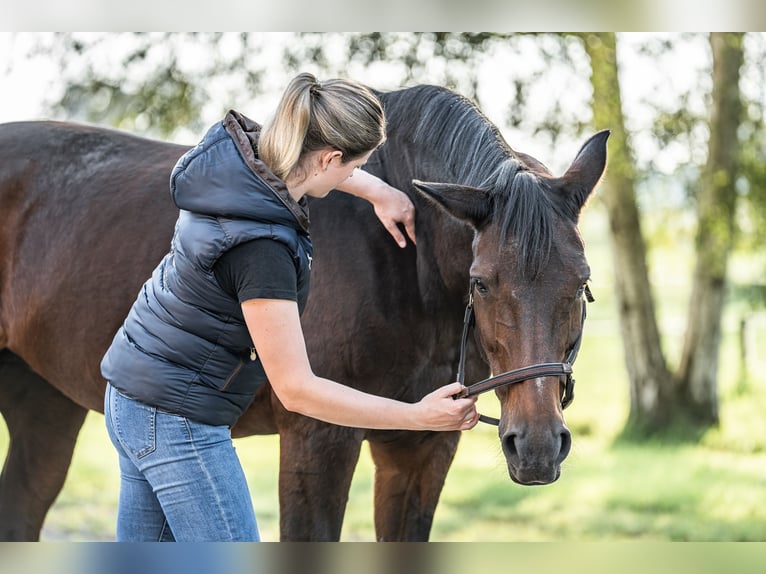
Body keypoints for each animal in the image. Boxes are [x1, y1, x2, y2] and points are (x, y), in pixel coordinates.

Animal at [0, 84, 608, 541]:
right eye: (481, 283)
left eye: (581, 283)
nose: (537, 446)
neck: (405, 267)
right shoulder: (318, 442)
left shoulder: (423, 451)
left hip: (45, 408)